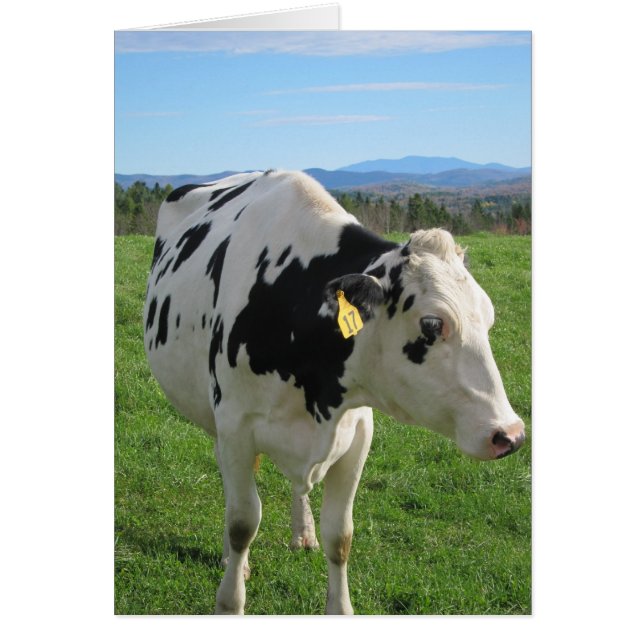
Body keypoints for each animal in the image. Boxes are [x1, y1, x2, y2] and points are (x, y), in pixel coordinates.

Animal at [143, 169, 525, 615]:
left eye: (490, 318)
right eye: (432, 324)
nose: (511, 434)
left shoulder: (358, 432)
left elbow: (340, 535)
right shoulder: (235, 426)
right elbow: (242, 523)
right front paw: (230, 597)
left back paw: (302, 532)